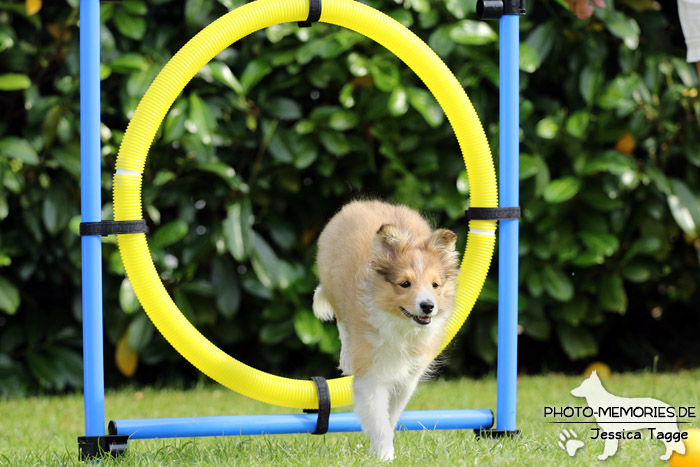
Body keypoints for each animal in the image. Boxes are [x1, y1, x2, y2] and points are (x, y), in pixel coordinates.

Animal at [312, 200, 460, 460]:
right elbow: (378, 418)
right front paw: (384, 455)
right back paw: (346, 356)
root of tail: (363, 203)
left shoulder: (407, 379)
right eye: (405, 284)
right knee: (342, 322)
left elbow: (389, 416)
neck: (401, 325)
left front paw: (380, 448)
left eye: (435, 285)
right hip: (333, 286)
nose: (428, 306)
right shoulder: (371, 376)